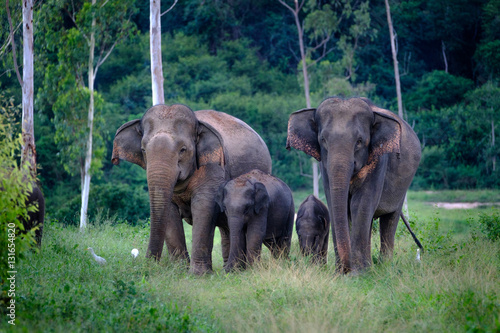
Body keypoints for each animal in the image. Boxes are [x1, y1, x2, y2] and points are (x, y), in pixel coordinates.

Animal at [112, 105, 274, 274]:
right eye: (143, 150)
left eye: (183, 149)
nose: (149, 263)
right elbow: (169, 212)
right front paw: (179, 271)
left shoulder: (213, 168)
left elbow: (203, 208)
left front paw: (198, 274)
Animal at [286, 96, 422, 272]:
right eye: (323, 140)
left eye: (359, 141)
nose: (346, 268)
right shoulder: (325, 166)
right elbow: (338, 204)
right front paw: (342, 273)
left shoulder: (378, 160)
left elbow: (360, 204)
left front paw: (359, 273)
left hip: (401, 188)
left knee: (390, 219)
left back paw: (384, 266)